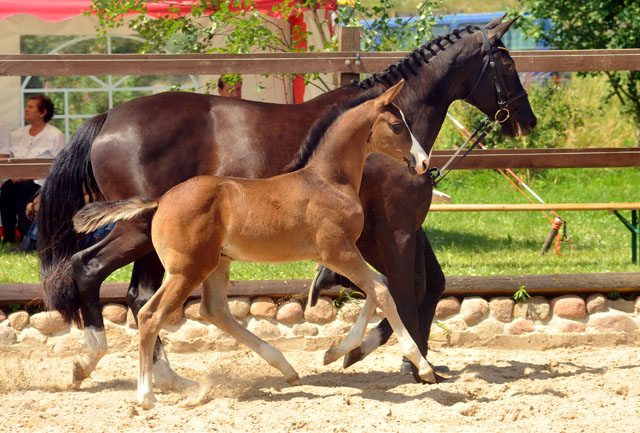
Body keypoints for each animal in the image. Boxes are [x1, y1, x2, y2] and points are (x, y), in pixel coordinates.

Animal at [74, 81, 436, 408]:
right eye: (397, 126)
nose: (422, 162)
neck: (327, 180)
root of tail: (161, 200)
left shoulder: (339, 254)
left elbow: (378, 287)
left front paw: (335, 353)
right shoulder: (339, 250)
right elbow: (384, 291)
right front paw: (422, 367)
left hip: (216, 263)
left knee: (214, 310)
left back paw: (286, 369)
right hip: (187, 270)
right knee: (150, 314)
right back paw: (146, 395)